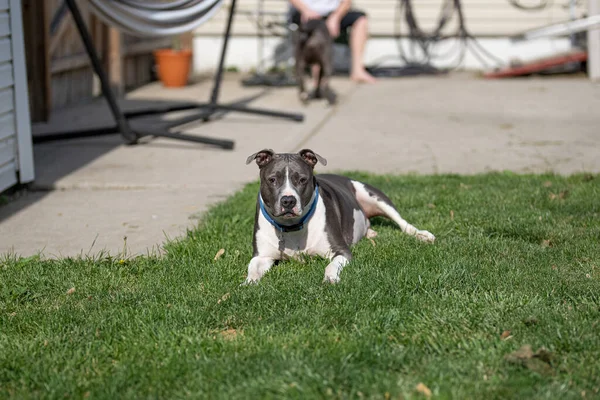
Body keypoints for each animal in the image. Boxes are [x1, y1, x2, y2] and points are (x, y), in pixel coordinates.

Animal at [244, 148, 436, 284]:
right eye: (272, 180)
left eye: (302, 179)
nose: (288, 201)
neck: (291, 226)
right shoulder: (261, 256)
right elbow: (252, 268)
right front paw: (248, 284)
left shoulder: (341, 251)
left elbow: (331, 265)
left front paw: (330, 279)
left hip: (374, 195)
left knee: (403, 223)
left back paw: (422, 235)